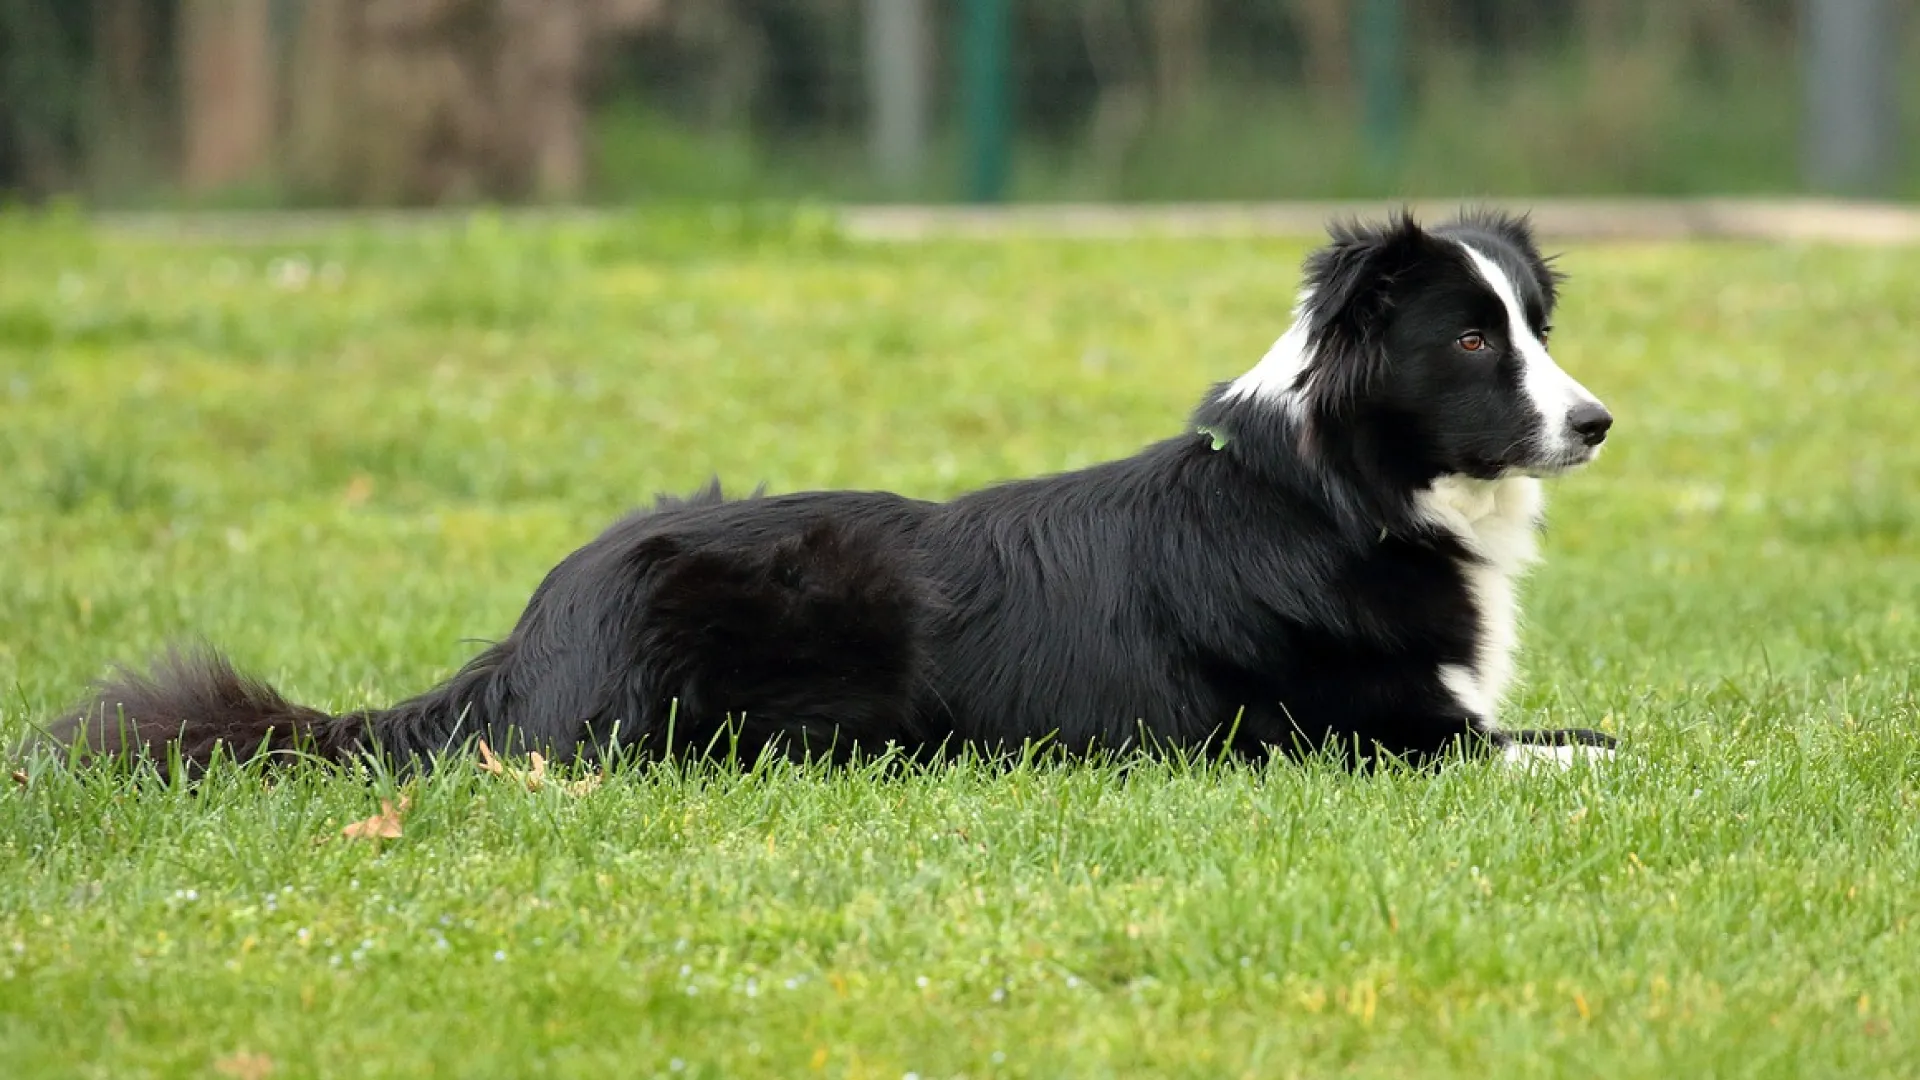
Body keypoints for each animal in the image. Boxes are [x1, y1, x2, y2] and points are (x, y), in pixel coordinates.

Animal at [45, 208, 1612, 772]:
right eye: (1471, 341)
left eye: (1536, 324)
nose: (1598, 423)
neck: (1340, 495)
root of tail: (537, 626)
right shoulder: (1358, 738)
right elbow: (1574, 757)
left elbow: (1594, 731)